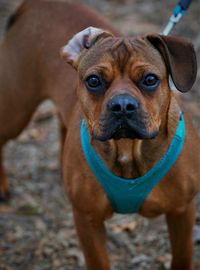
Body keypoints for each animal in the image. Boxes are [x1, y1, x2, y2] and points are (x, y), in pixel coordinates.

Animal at [0, 0, 200, 270]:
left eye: (150, 79)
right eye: (94, 81)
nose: (123, 105)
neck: (127, 148)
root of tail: (34, 5)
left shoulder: (182, 211)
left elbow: (181, 256)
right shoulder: (88, 220)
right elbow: (98, 261)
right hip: (16, 109)